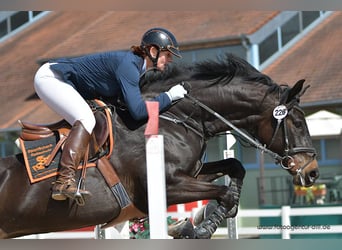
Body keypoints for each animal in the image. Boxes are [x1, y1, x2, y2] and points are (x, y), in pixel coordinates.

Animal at [0, 53, 320, 238]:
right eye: (297, 122)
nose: (313, 172)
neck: (174, 116)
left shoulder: (192, 173)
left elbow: (234, 167)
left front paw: (201, 222)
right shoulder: (165, 186)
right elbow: (225, 193)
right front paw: (201, 225)